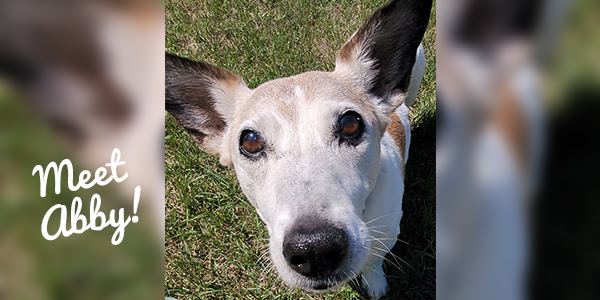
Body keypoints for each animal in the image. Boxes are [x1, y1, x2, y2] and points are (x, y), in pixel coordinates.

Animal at [164, 0, 432, 298]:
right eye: (250, 141)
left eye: (351, 124)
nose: (315, 248)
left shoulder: (387, 232)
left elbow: (374, 260)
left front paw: (376, 284)